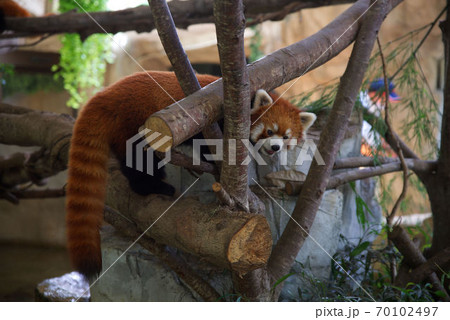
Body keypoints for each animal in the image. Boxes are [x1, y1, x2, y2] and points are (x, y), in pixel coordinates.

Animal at [67, 70, 314, 278]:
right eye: (269, 131)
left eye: (286, 137)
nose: (275, 148)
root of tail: (105, 94)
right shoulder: (215, 123)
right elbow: (210, 146)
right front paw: (217, 163)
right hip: (134, 122)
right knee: (138, 161)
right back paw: (155, 187)